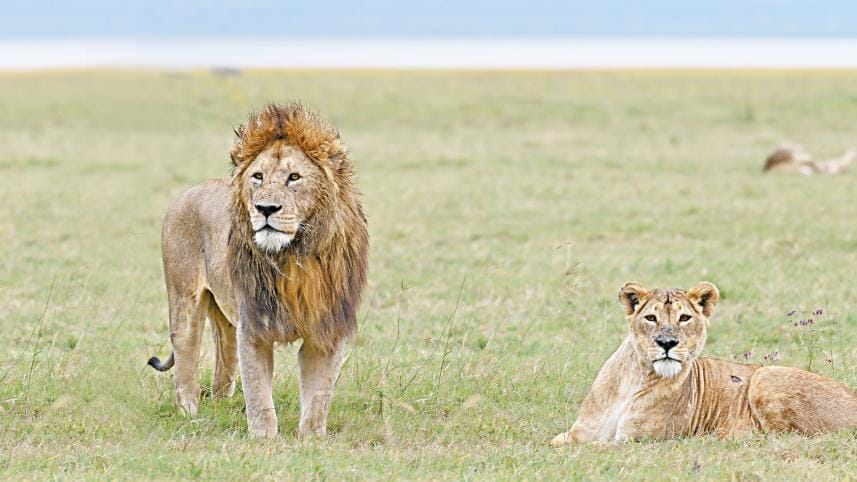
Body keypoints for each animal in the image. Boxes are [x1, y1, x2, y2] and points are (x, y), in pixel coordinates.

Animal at [147, 103, 369, 439]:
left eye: (294, 177)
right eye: (258, 177)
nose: (265, 209)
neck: (293, 256)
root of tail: (189, 191)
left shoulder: (325, 329)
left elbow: (319, 393)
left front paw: (312, 438)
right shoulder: (253, 326)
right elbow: (258, 391)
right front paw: (264, 438)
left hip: (225, 313)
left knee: (224, 353)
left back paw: (221, 405)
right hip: (184, 299)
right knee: (185, 353)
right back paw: (189, 411)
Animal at [551, 282, 857, 446]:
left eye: (684, 318)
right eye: (651, 318)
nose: (667, 342)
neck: (634, 378)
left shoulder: (637, 441)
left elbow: (590, 449)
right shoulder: (581, 431)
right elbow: (556, 443)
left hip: (765, 376)